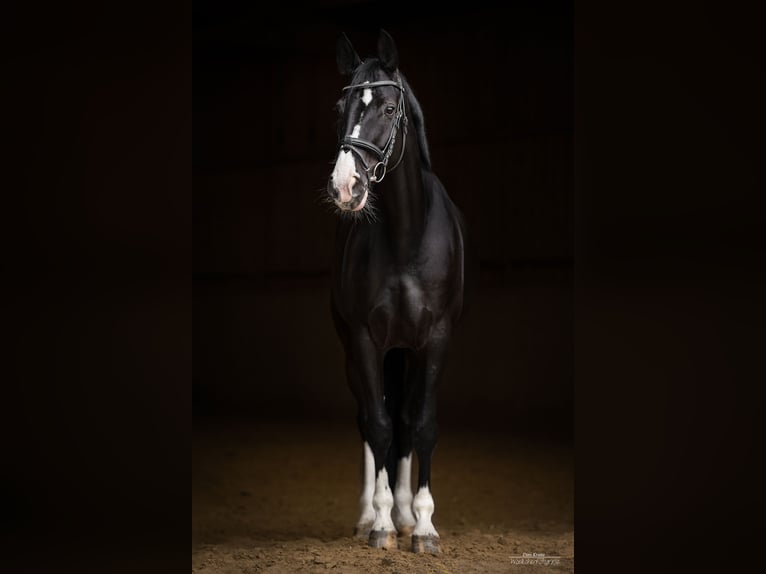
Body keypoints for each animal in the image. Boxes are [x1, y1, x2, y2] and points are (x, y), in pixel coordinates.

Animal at [326, 29, 464, 556]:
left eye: (388, 107)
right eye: (341, 107)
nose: (345, 186)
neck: (408, 236)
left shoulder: (436, 340)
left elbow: (420, 425)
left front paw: (422, 527)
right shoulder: (366, 340)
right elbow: (379, 425)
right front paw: (381, 523)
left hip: (407, 351)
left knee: (404, 420)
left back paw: (405, 513)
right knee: (371, 420)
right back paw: (372, 513)